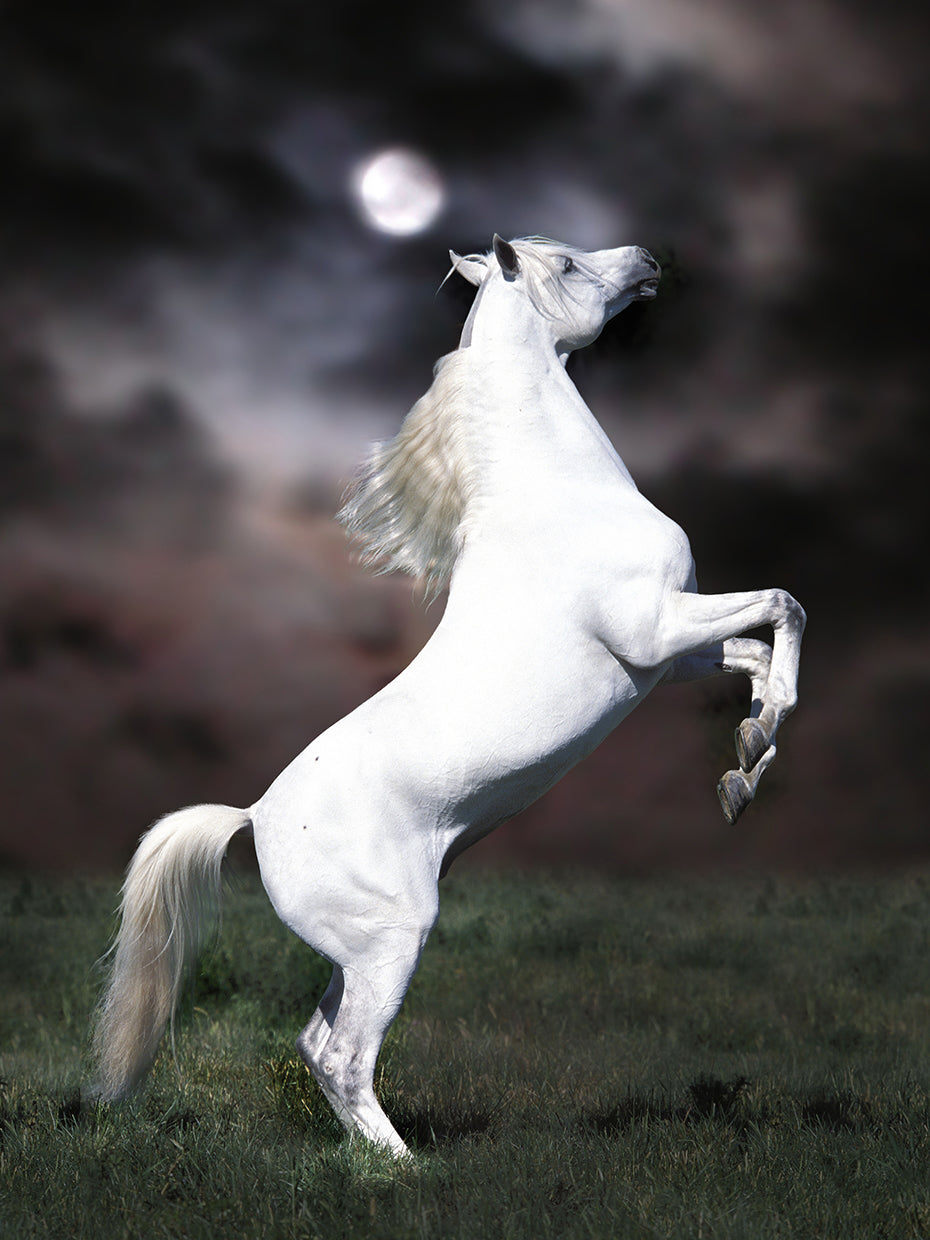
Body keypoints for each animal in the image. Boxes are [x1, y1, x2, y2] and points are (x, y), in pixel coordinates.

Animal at [90, 234, 806, 1158]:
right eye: (567, 265)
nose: (647, 260)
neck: (561, 496)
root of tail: (254, 817)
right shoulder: (654, 630)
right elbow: (785, 607)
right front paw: (757, 746)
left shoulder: (665, 659)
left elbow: (752, 651)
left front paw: (744, 769)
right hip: (392, 941)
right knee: (346, 1057)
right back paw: (407, 1169)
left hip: (356, 957)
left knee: (316, 1044)